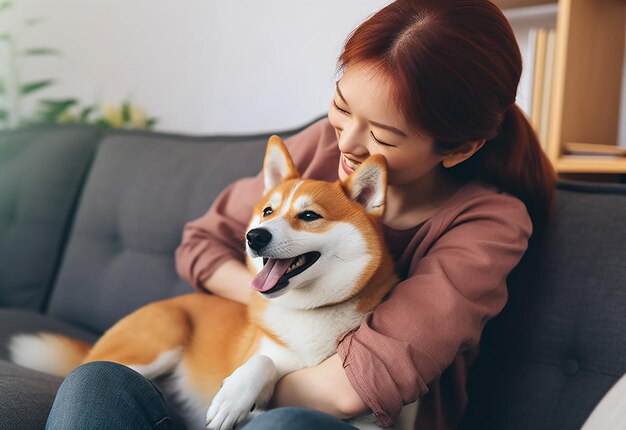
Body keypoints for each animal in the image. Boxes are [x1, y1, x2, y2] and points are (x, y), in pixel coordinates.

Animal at [9, 135, 398, 430]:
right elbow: (263, 361)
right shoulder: (263, 357)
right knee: (88, 370)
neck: (309, 312)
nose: (254, 236)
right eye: (268, 211)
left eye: (309, 215)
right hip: (159, 339)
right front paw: (233, 396)